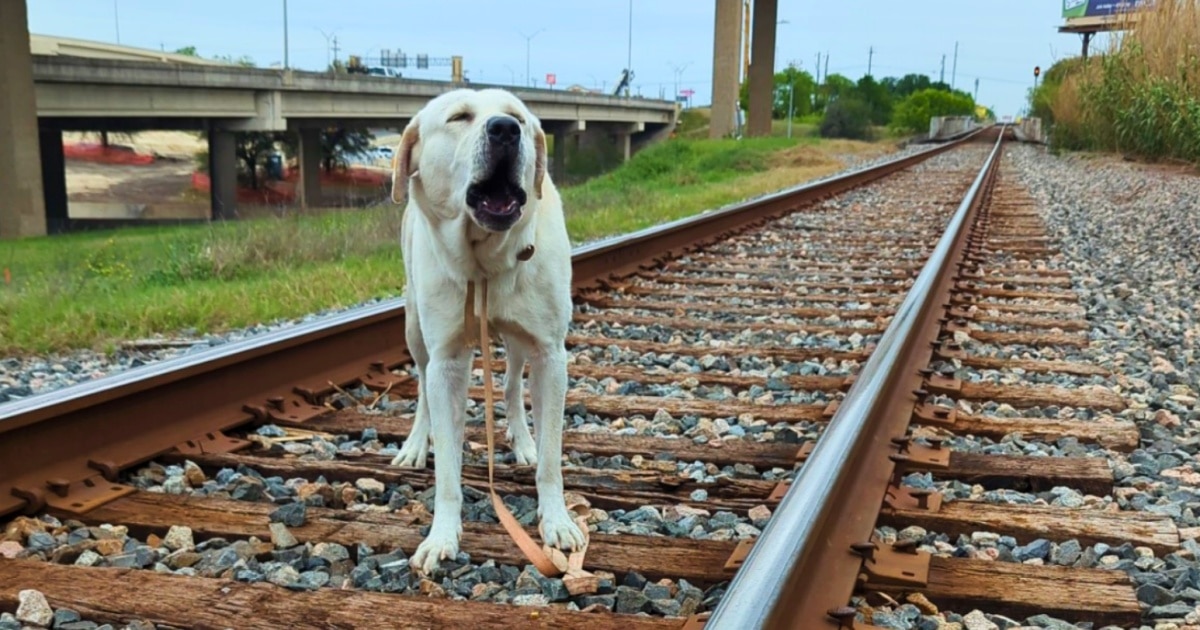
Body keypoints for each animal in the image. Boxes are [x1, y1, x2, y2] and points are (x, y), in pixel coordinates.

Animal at [391, 88, 583, 573]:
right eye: (459, 117)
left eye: (517, 116)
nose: (505, 130)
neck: (485, 261)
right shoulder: (446, 362)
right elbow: (447, 471)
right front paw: (441, 536)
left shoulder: (550, 354)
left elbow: (551, 457)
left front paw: (557, 521)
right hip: (413, 327)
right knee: (420, 386)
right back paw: (416, 444)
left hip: (519, 342)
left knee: (513, 383)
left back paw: (522, 439)